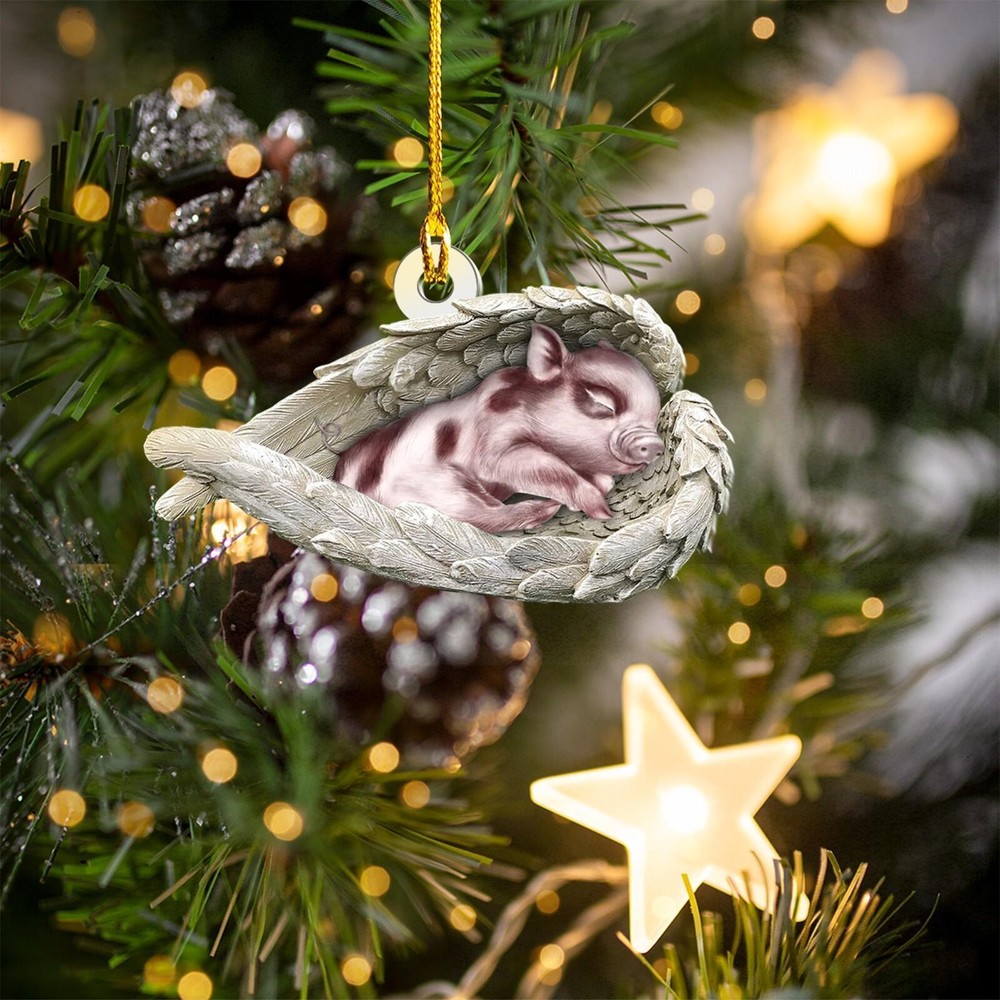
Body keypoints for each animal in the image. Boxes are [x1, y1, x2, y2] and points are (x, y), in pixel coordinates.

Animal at [333, 323, 664, 532]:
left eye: (653, 416)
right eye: (601, 401)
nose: (655, 444)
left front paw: (602, 486)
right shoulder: (495, 443)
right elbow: (534, 466)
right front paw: (601, 509)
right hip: (434, 484)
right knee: (480, 514)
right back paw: (545, 509)